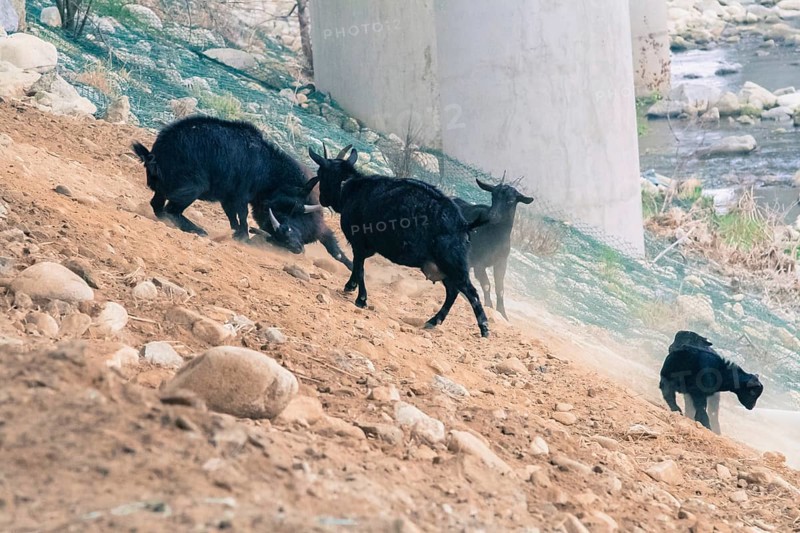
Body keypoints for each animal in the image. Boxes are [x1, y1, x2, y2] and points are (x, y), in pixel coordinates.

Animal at [131, 116, 351, 269]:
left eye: (294, 209)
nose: (291, 243)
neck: (268, 168)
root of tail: (153, 157)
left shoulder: (230, 198)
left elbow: (234, 217)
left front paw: (237, 233)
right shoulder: (240, 195)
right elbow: (242, 215)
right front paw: (243, 236)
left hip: (164, 190)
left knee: (158, 206)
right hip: (192, 188)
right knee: (171, 210)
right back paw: (198, 230)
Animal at [308, 144, 491, 337]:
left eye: (321, 173)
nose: (322, 199)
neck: (350, 187)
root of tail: (464, 225)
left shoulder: (359, 242)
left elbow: (359, 268)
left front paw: (360, 298)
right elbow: (358, 267)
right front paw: (351, 287)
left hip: (452, 263)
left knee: (470, 291)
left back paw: (483, 327)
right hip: (441, 267)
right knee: (453, 291)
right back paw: (434, 321)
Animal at [452, 178, 533, 320]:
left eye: (511, 200)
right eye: (493, 196)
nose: (492, 215)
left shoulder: (501, 263)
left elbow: (500, 289)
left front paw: (503, 314)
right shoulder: (478, 263)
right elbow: (486, 285)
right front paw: (488, 306)